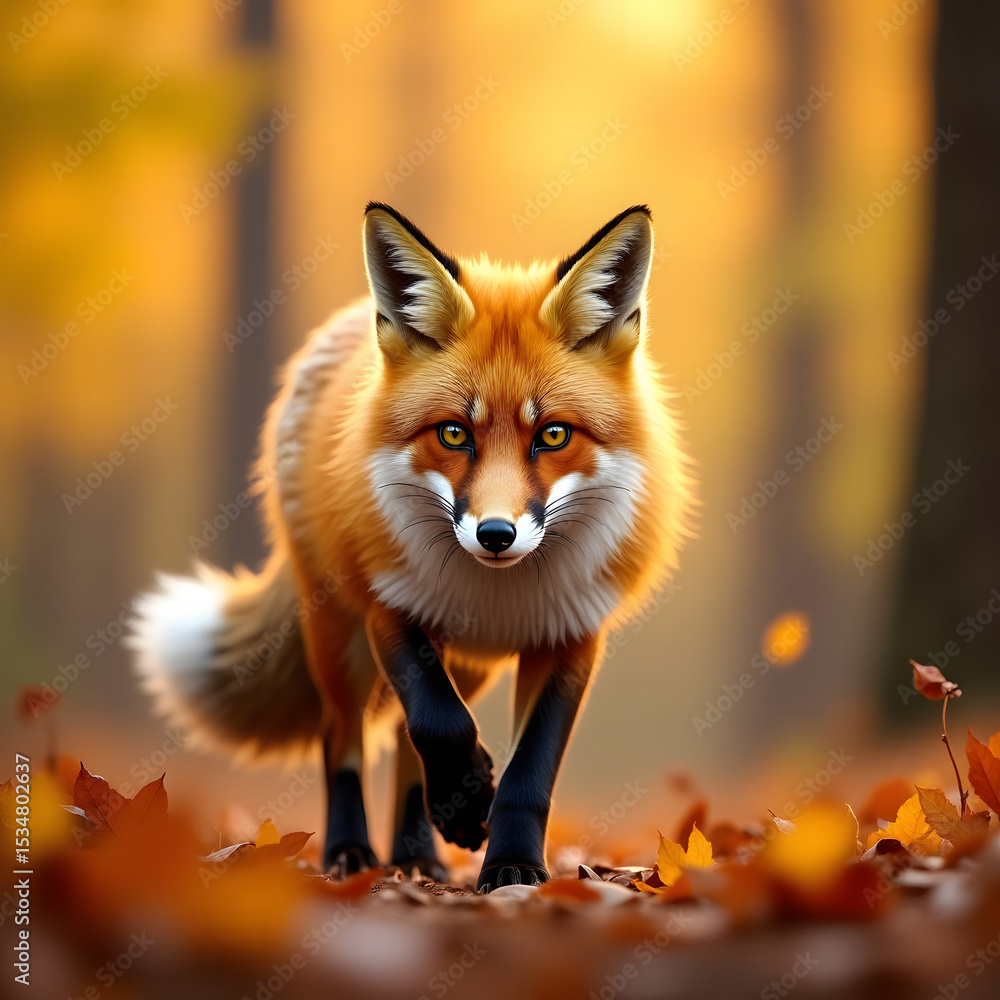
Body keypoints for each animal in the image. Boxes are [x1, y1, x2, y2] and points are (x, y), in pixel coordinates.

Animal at [129, 202, 693, 892]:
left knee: (401, 738)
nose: (496, 534)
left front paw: (510, 864)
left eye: (554, 435)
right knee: (344, 735)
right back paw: (352, 852)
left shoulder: (572, 636)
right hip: (338, 636)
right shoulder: (390, 606)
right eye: (453, 433)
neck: (499, 594)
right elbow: (440, 724)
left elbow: (526, 769)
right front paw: (469, 803)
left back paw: (418, 853)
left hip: (467, 664)